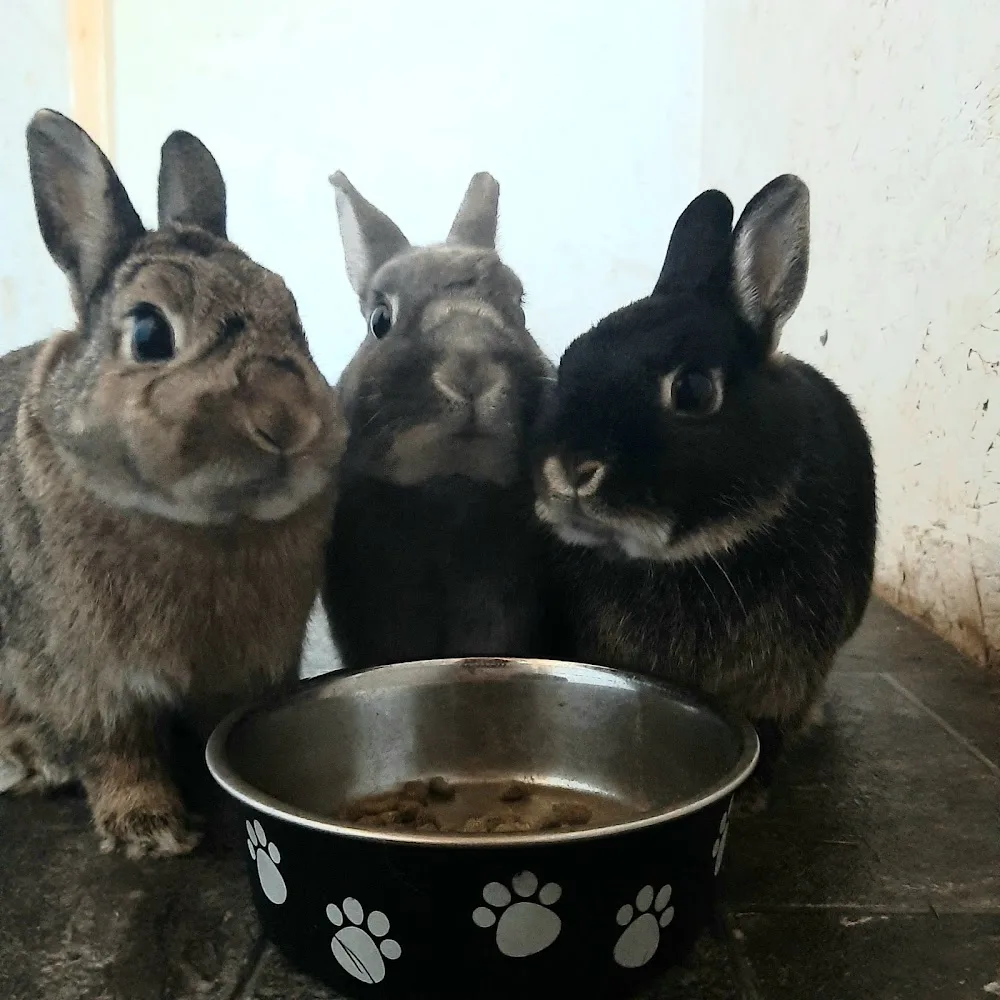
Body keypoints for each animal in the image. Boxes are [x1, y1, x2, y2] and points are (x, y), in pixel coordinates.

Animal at [0, 110, 346, 856]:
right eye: (149, 332)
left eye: (292, 310)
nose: (285, 419)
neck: (206, 524)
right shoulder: (90, 679)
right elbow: (117, 752)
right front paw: (149, 830)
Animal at [533, 175, 877, 809]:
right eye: (567, 362)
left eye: (692, 389)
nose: (569, 469)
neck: (691, 558)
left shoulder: (790, 675)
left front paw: (753, 794)